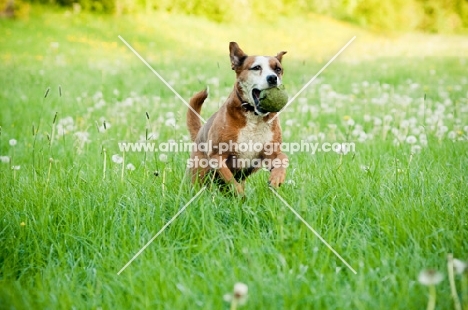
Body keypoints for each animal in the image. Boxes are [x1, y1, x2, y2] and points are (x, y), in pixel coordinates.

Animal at [185, 41, 288, 194]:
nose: (272, 78)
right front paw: (240, 194)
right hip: (199, 173)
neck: (254, 117)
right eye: (256, 67)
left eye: (278, 69)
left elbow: (283, 157)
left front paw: (276, 178)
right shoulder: (217, 156)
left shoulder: (269, 154)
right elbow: (230, 179)